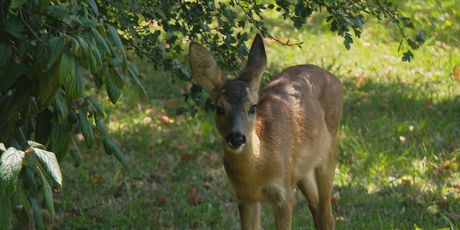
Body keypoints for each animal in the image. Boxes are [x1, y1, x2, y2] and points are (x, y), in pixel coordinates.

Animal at [189, 34, 344, 230]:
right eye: (219, 108)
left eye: (252, 107)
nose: (236, 137)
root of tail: (335, 79)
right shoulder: (245, 197)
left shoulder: (283, 192)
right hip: (302, 169)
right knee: (316, 207)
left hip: (328, 152)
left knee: (327, 214)